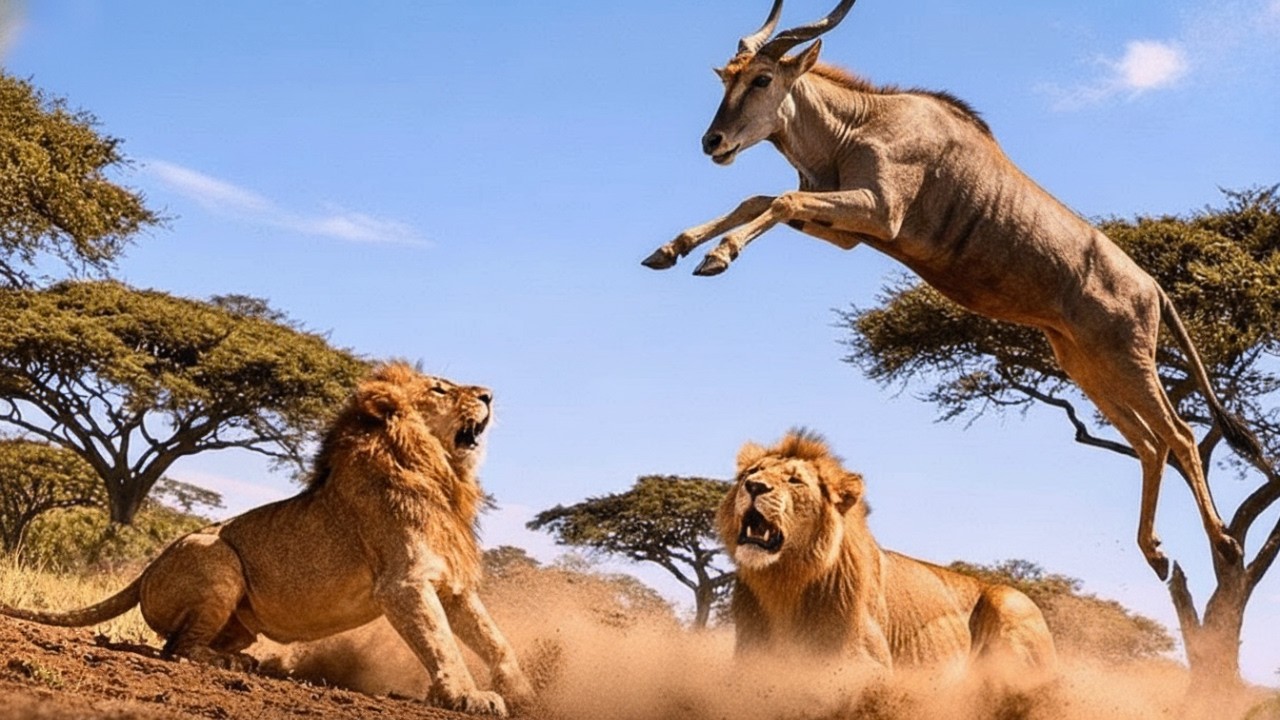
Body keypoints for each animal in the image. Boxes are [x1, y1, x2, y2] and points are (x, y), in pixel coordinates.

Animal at [0, 362, 534, 717]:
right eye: (440, 388)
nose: (489, 395)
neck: (439, 472)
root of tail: (147, 568)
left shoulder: (452, 583)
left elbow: (495, 640)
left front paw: (528, 691)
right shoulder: (403, 582)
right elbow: (442, 645)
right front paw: (468, 696)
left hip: (240, 615)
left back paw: (242, 659)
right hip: (216, 557)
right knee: (177, 648)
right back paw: (229, 665)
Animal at [720, 429, 1057, 680]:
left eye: (794, 480)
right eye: (752, 472)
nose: (754, 486)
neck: (784, 585)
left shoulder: (868, 666)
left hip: (1010, 603)